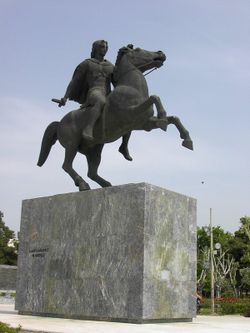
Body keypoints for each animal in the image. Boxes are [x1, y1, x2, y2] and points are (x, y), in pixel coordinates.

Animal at [37, 44, 193, 189]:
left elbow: (174, 118)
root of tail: (59, 123)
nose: (161, 53)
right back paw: (82, 184)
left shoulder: (144, 124)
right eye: (138, 49)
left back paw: (106, 184)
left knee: (91, 172)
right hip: (72, 144)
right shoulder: (131, 113)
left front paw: (186, 139)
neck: (132, 88)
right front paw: (163, 117)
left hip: (94, 149)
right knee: (67, 165)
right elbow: (155, 97)